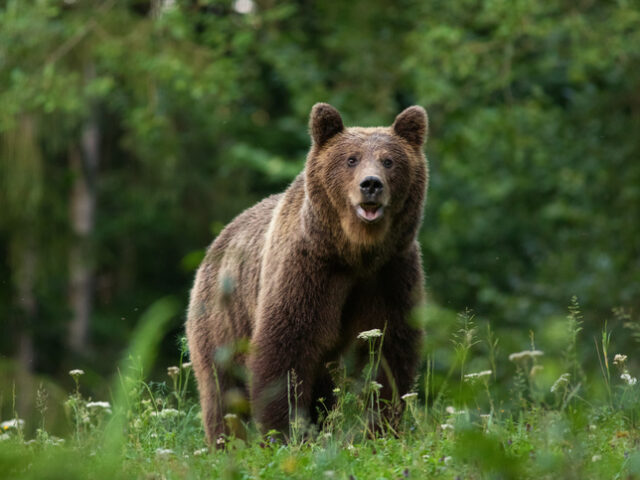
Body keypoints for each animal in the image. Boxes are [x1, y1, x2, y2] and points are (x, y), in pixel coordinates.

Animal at [190, 103, 430, 444]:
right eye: (351, 159)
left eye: (389, 160)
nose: (371, 184)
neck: (355, 252)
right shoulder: (308, 270)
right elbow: (286, 348)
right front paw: (284, 433)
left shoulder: (390, 274)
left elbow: (389, 351)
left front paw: (380, 429)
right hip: (222, 319)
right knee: (222, 391)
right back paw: (227, 442)